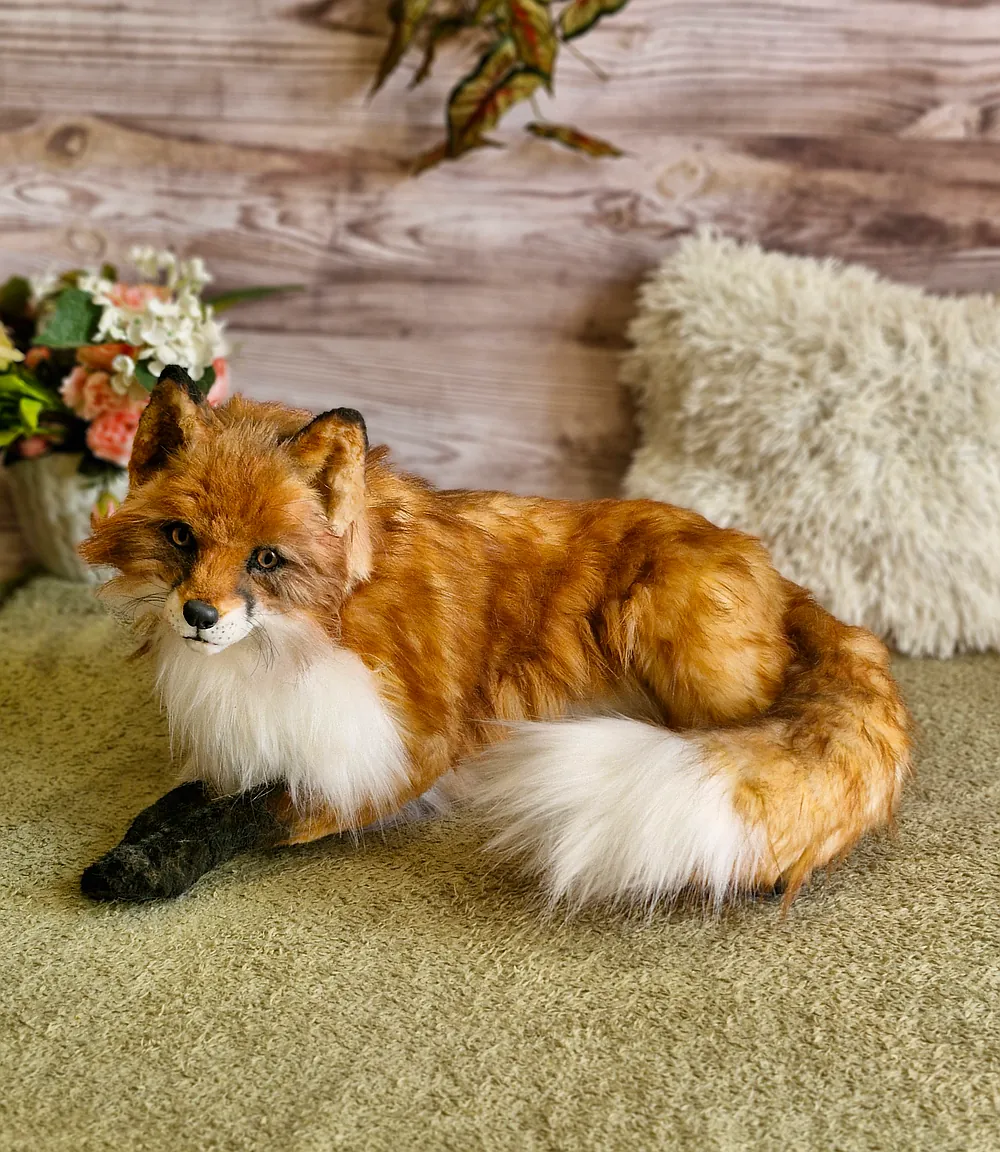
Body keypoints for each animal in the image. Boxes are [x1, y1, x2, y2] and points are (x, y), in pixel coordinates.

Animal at [78, 366, 912, 908]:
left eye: (265, 559)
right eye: (180, 538)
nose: (199, 615)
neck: (302, 639)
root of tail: (779, 573)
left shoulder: (394, 760)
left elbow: (240, 819)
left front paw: (143, 870)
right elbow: (185, 800)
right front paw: (136, 839)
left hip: (670, 630)